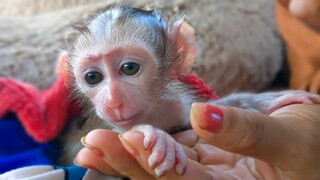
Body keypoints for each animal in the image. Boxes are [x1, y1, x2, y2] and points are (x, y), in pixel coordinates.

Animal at [60, 3, 320, 178]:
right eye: (92, 77)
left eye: (129, 68)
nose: (113, 101)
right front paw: (153, 136)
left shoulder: (177, 105)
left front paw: (266, 101)